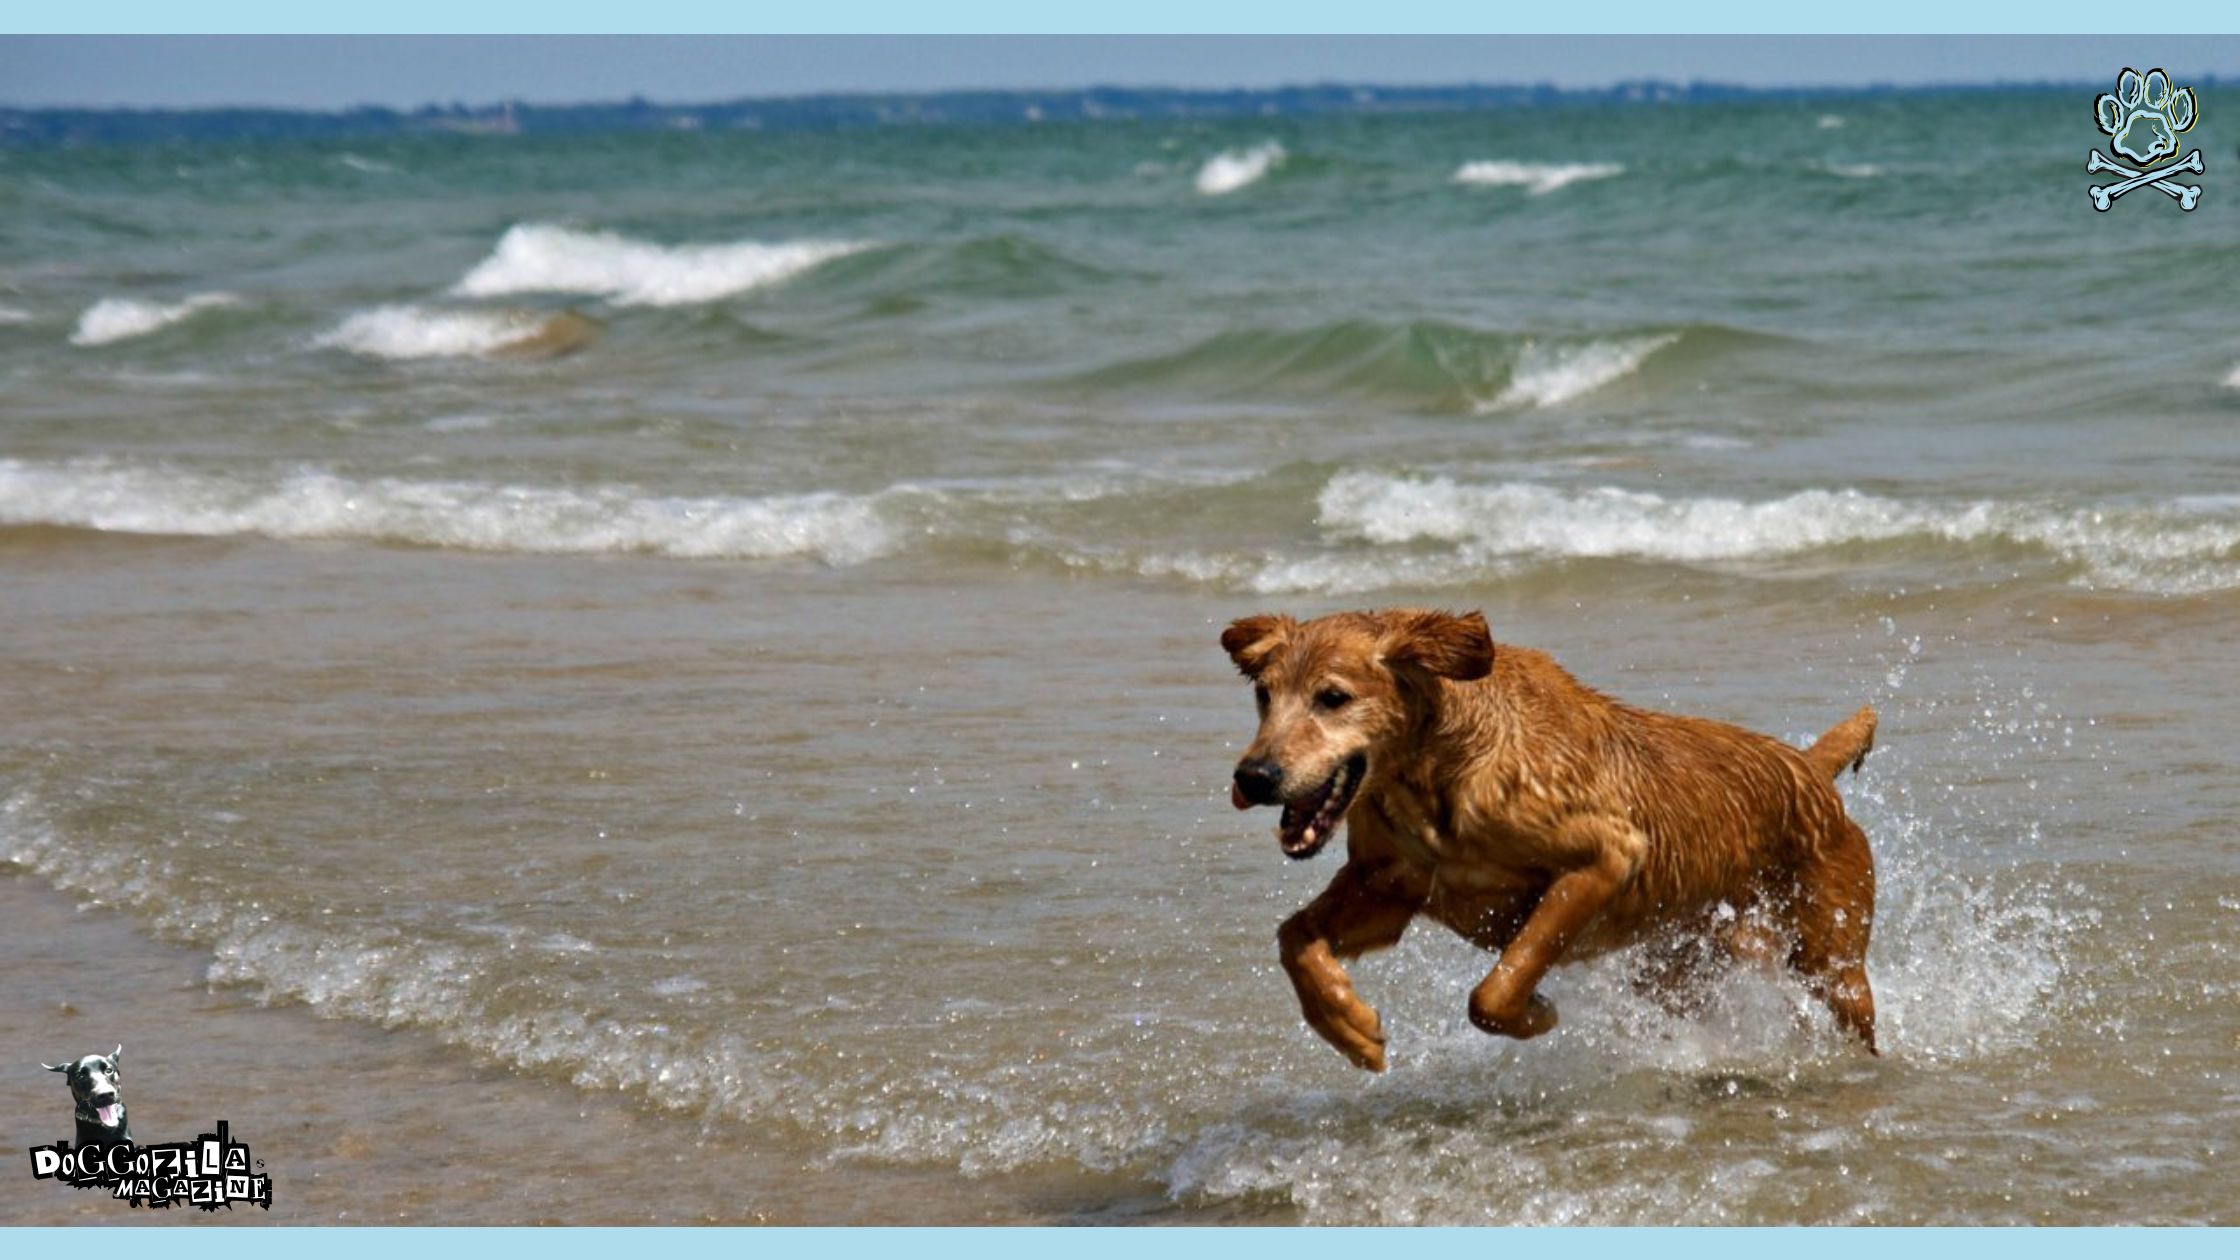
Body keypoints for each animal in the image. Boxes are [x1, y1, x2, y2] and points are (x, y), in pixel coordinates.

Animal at [1218, 609, 1881, 1067]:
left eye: (1333, 697)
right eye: (1263, 694)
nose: (1253, 776)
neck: (1437, 774)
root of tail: (1809, 769)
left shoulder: (1607, 856)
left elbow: (1498, 987)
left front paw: (1536, 1013)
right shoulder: (1390, 886)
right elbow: (1294, 936)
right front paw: (1349, 1026)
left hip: (1833, 960)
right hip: (1677, 967)